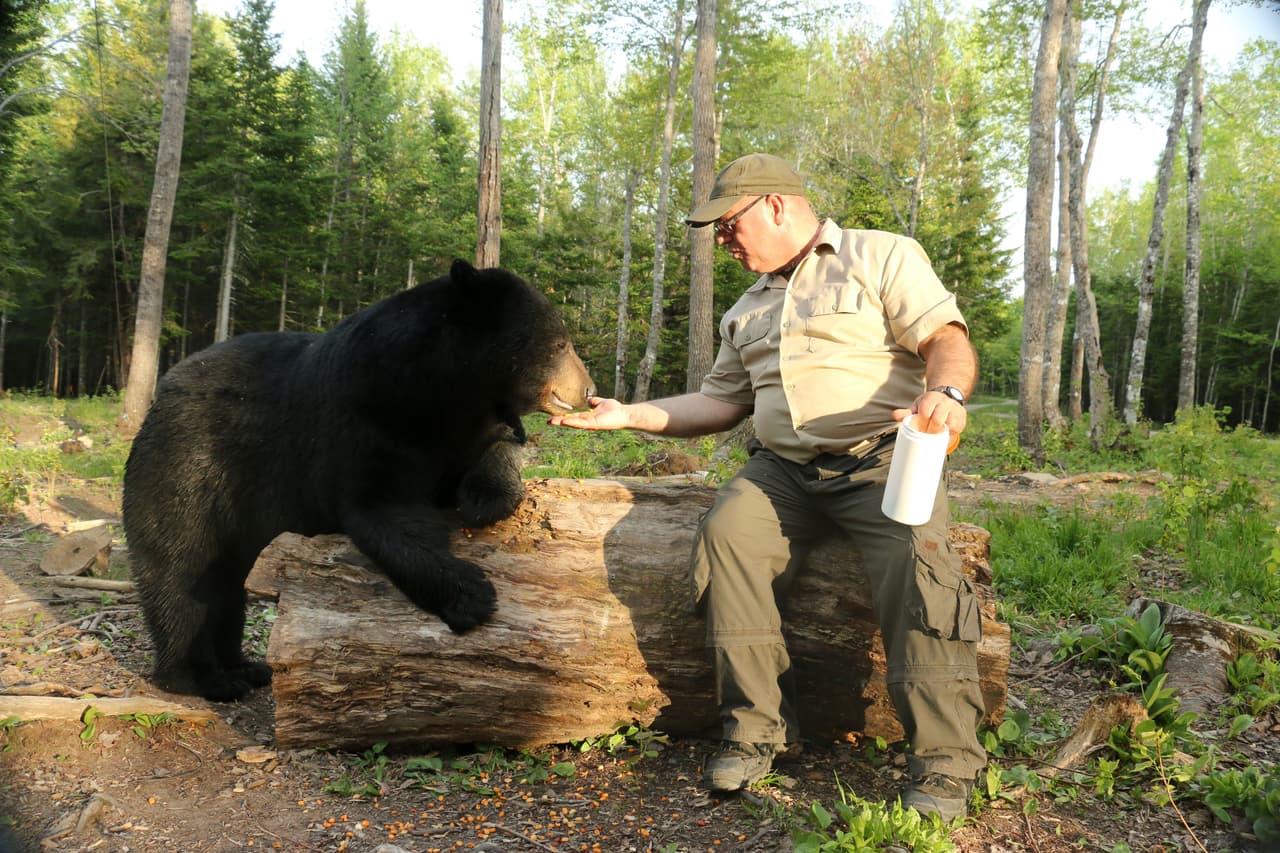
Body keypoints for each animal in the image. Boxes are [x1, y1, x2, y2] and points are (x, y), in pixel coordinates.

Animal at [122, 259, 596, 702]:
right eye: (560, 343)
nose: (589, 389)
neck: (442, 387)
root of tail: (161, 395)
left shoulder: (467, 423)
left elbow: (498, 448)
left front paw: (485, 500)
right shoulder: (366, 416)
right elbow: (384, 511)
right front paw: (471, 593)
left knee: (226, 586)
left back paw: (245, 667)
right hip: (189, 472)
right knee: (182, 575)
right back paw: (202, 679)